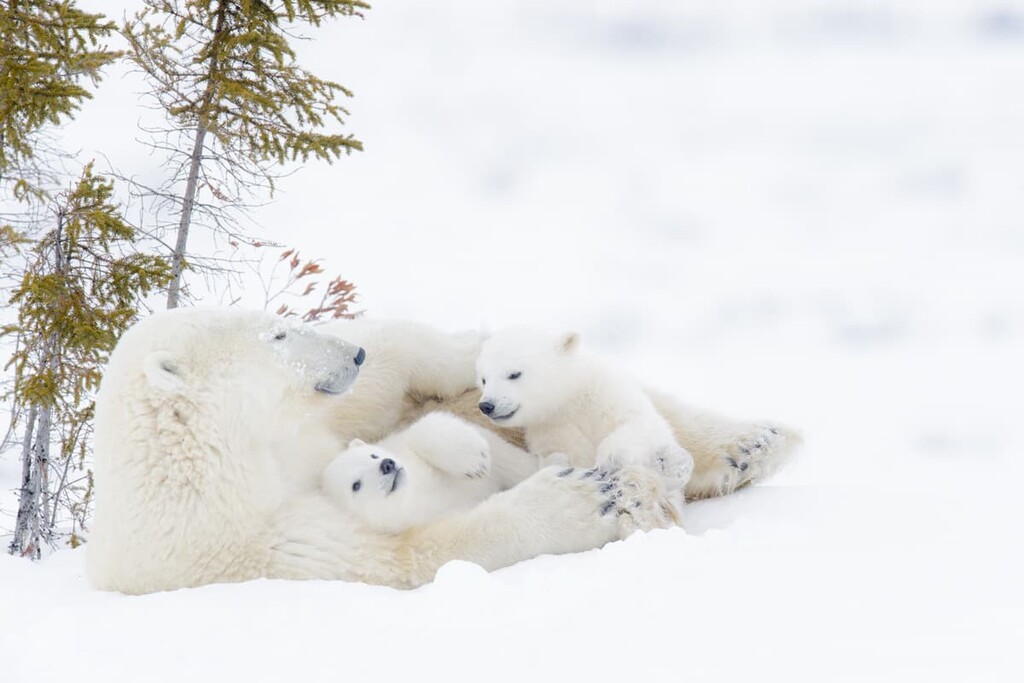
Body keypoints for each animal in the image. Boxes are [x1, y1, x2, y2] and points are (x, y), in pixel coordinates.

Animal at [323, 411, 538, 534]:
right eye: (356, 485)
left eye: (373, 455)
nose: (387, 465)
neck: (416, 492)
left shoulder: (402, 444)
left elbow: (424, 427)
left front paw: (475, 461)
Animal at [475, 327, 695, 487]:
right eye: (484, 379)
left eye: (514, 374)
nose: (487, 405)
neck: (570, 398)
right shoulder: (551, 429)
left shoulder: (606, 392)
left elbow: (640, 423)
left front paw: (611, 459)